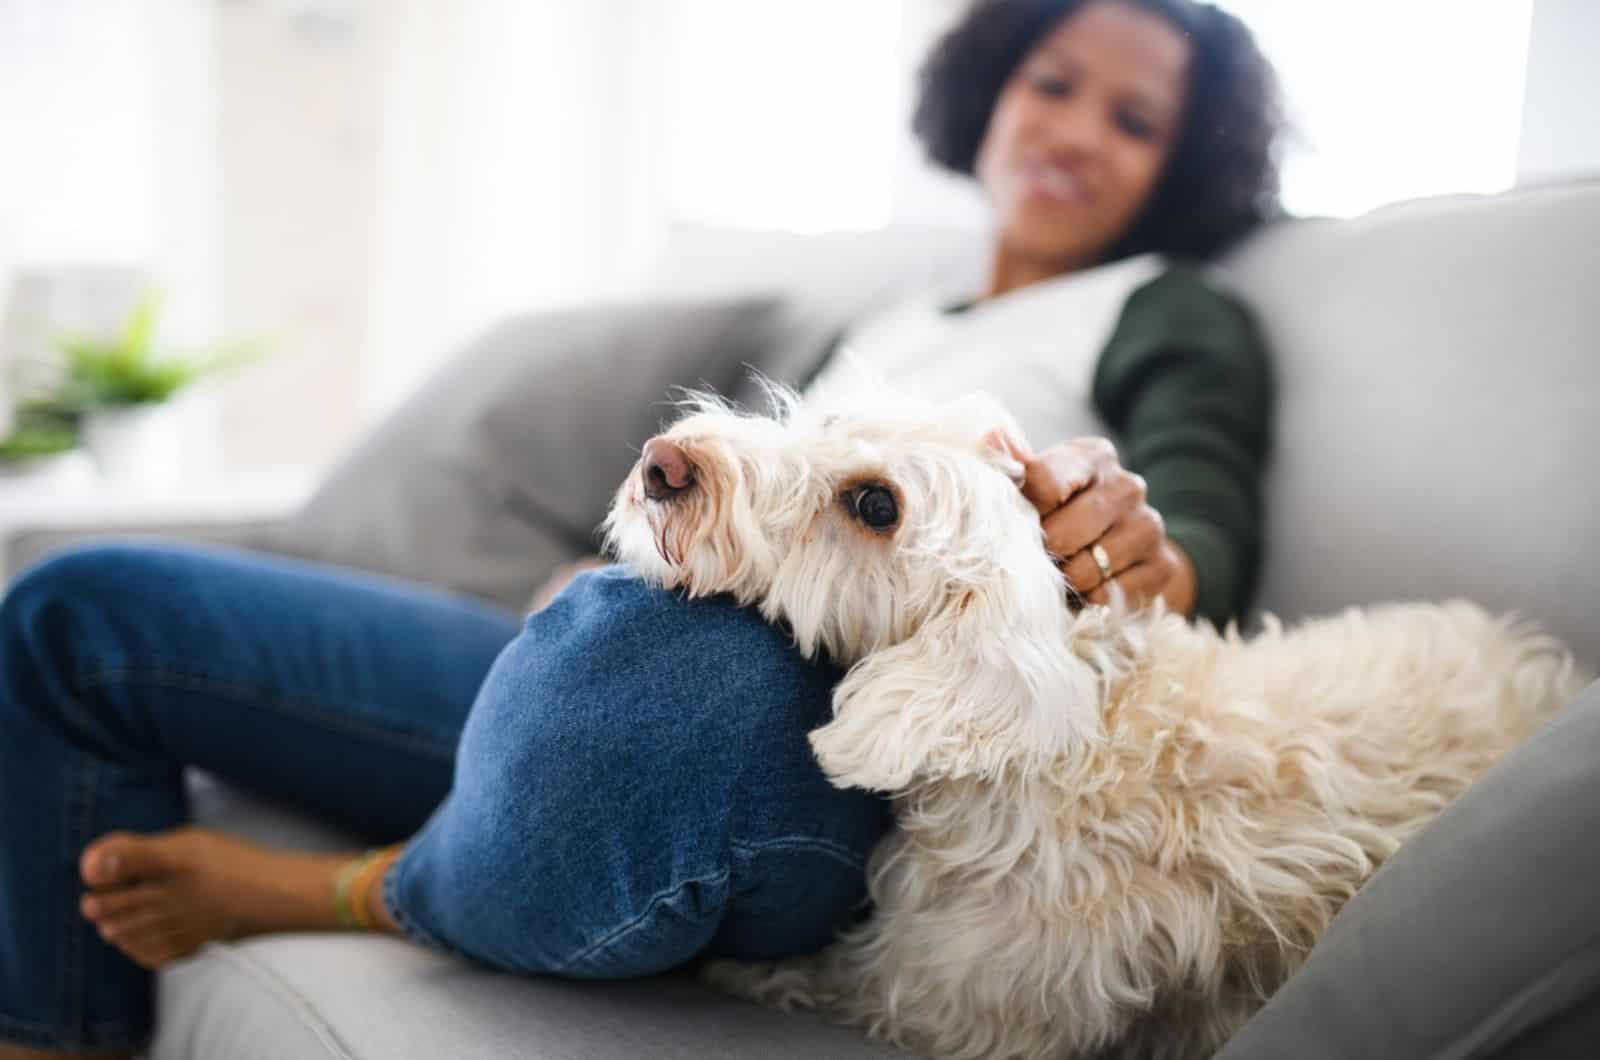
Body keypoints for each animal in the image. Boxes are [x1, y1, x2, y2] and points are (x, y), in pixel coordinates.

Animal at [601, 389, 1587, 1060]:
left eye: (876, 506)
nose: (662, 462)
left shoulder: (947, 1000)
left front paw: (739, 971)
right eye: (827, 417)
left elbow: (823, 977)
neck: (1076, 744)